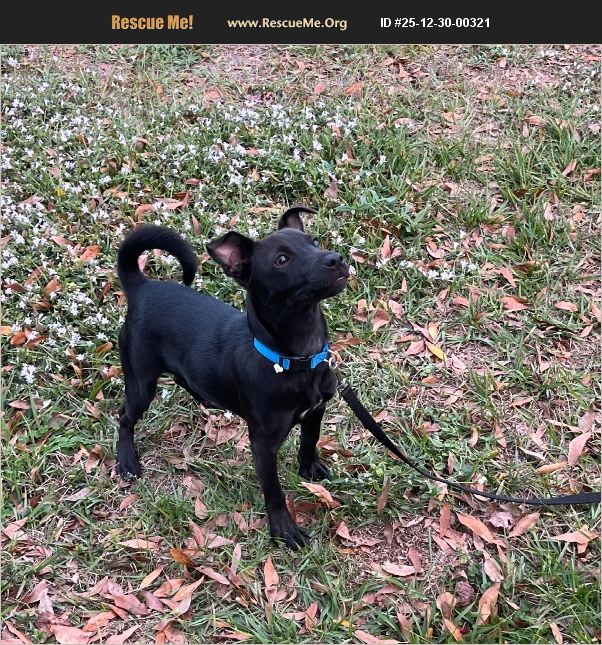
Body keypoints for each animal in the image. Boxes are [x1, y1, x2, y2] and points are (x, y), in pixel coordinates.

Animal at [116, 205, 349, 549]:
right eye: (282, 260)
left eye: (315, 242)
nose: (336, 258)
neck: (294, 360)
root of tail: (143, 286)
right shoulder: (263, 445)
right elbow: (273, 491)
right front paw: (283, 529)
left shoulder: (316, 409)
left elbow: (310, 439)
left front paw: (309, 468)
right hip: (141, 382)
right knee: (124, 417)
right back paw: (126, 460)